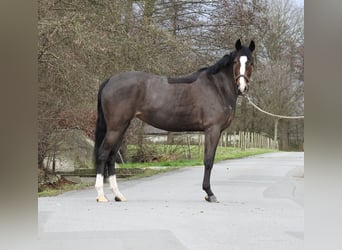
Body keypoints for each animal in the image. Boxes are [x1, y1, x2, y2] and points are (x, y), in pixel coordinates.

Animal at [93, 39, 254, 203]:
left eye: (250, 62)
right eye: (235, 61)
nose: (242, 87)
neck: (217, 87)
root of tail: (109, 81)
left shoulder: (216, 131)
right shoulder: (212, 130)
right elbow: (208, 161)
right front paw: (209, 193)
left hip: (122, 127)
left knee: (112, 156)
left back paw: (118, 194)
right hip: (115, 127)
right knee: (103, 154)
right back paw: (101, 195)